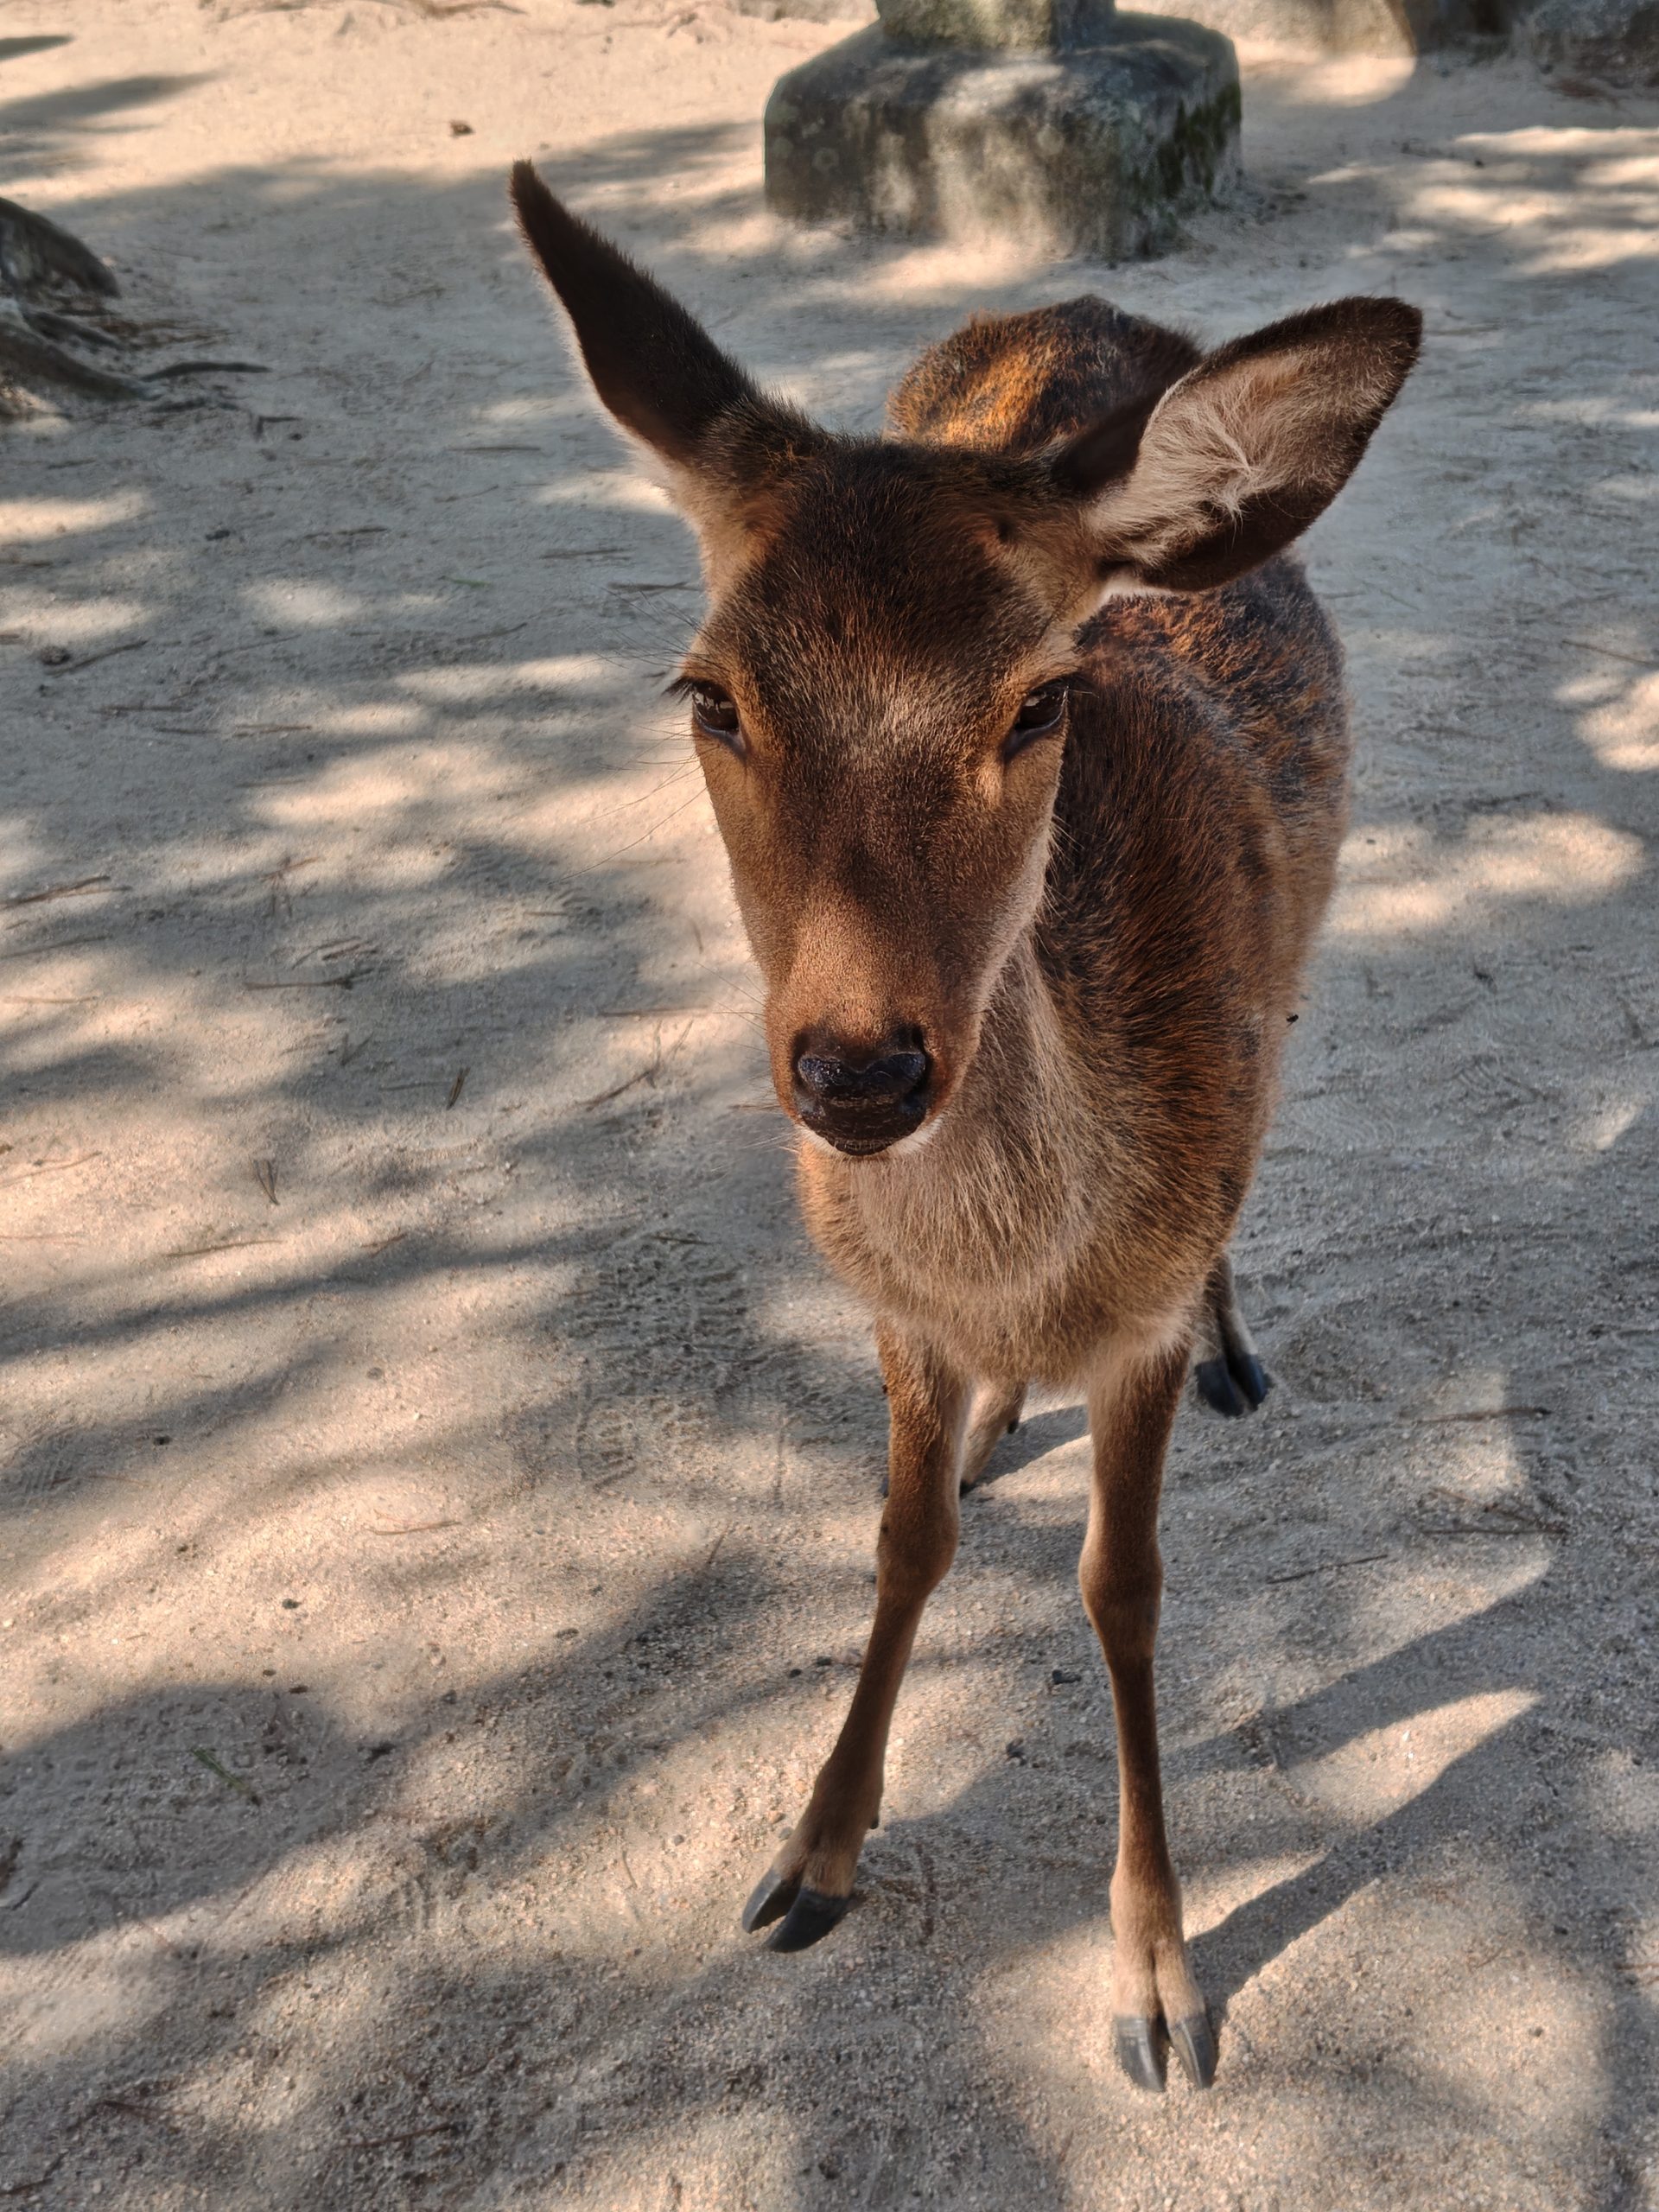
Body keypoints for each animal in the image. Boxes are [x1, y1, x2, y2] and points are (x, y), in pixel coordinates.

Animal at [510, 159, 1419, 2094]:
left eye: (1039, 698)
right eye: (710, 693)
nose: (860, 1071)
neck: (1013, 1264)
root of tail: (1080, 300)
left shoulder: (1133, 1319)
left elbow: (1123, 1588)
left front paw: (1156, 1983)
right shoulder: (888, 1309)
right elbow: (903, 1539)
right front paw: (810, 1855)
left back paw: (1234, 1343)